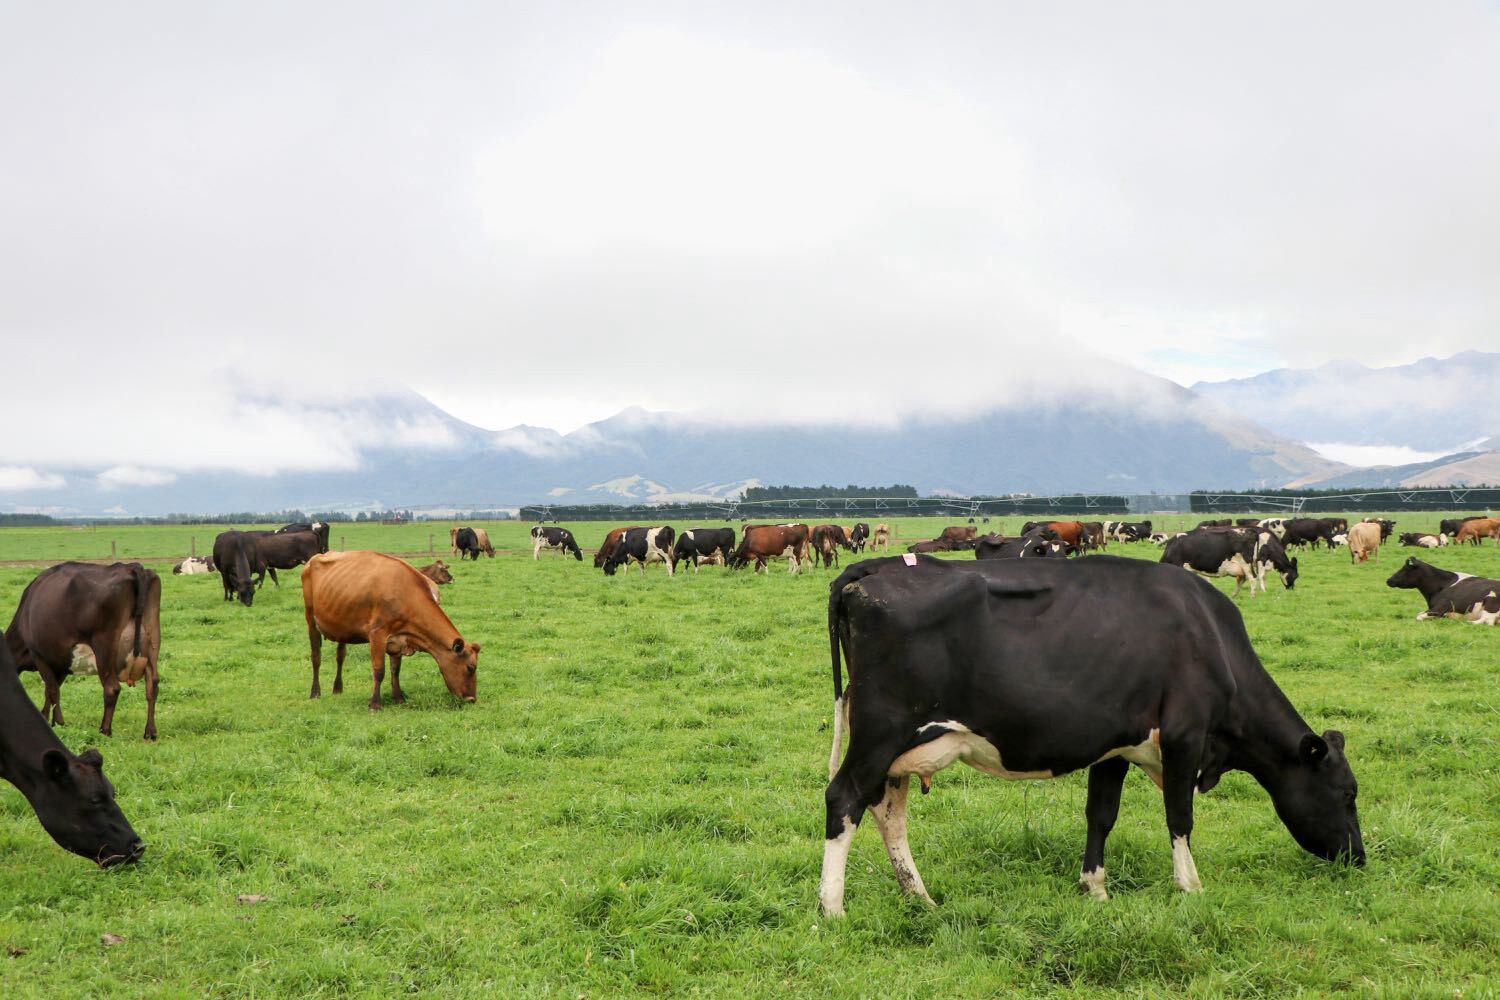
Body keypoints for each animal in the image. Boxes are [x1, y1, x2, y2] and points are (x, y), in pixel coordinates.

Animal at [3, 563, 161, 743]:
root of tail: (133, 567)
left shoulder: (40, 655)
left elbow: (52, 691)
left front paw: (59, 723)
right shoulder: (61, 662)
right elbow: (50, 691)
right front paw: (47, 719)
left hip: (104, 649)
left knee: (112, 688)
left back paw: (104, 731)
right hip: (153, 644)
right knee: (152, 686)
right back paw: (150, 732)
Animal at [297, 548, 474, 710]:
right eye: (471, 668)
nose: (472, 699)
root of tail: (315, 557)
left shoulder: (399, 638)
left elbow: (395, 670)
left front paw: (398, 698)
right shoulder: (377, 634)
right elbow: (379, 670)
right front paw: (375, 704)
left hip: (342, 624)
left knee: (340, 656)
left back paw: (337, 688)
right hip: (310, 618)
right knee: (316, 656)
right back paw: (315, 692)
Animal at [816, 554, 1368, 917]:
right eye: (1347, 793)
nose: (1359, 860)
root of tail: (873, 569)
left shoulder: (1116, 743)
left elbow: (1101, 815)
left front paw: (1095, 888)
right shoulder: (1185, 734)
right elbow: (1180, 816)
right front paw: (1189, 886)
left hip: (901, 746)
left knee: (888, 812)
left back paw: (920, 897)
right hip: (881, 731)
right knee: (844, 798)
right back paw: (832, 908)